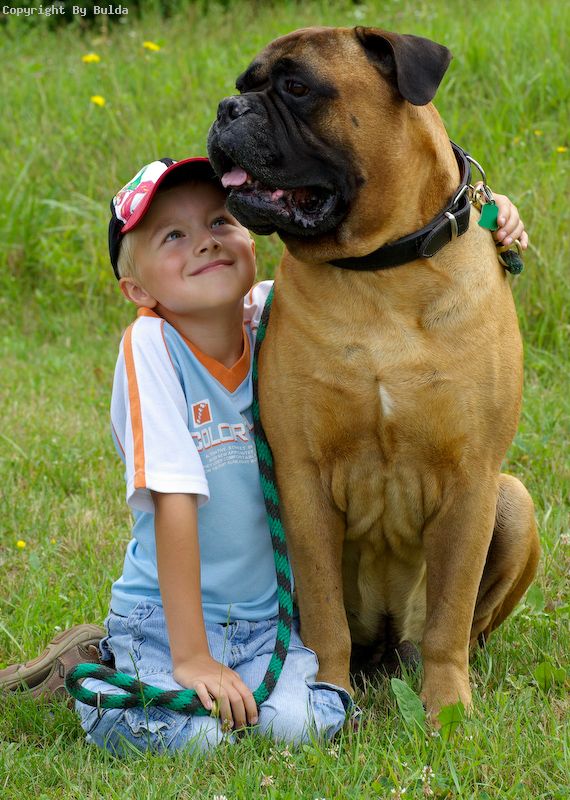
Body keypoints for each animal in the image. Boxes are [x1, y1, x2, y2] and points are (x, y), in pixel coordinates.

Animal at [208, 26, 540, 716]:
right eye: (245, 84)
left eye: (297, 86)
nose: (227, 108)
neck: (381, 270)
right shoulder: (303, 479)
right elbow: (323, 613)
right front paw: (323, 694)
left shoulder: (473, 479)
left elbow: (449, 614)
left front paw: (447, 709)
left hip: (514, 500)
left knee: (464, 625)